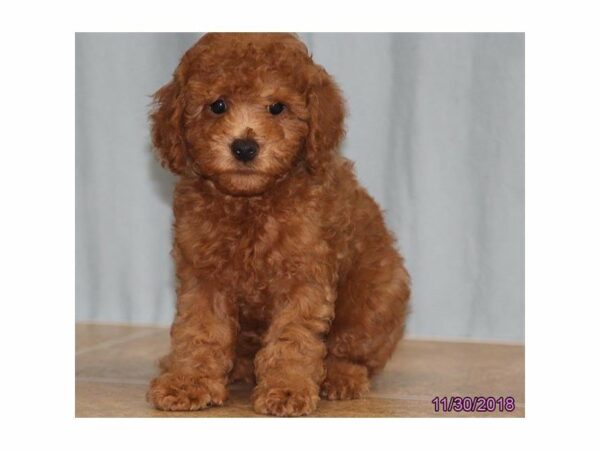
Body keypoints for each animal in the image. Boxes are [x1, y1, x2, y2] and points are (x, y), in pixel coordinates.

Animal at [148, 33, 410, 416]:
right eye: (218, 105)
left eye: (277, 108)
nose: (244, 147)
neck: (250, 202)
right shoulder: (203, 276)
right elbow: (199, 329)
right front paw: (189, 381)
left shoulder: (303, 277)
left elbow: (293, 337)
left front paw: (287, 388)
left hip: (377, 297)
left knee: (352, 349)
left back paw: (340, 376)